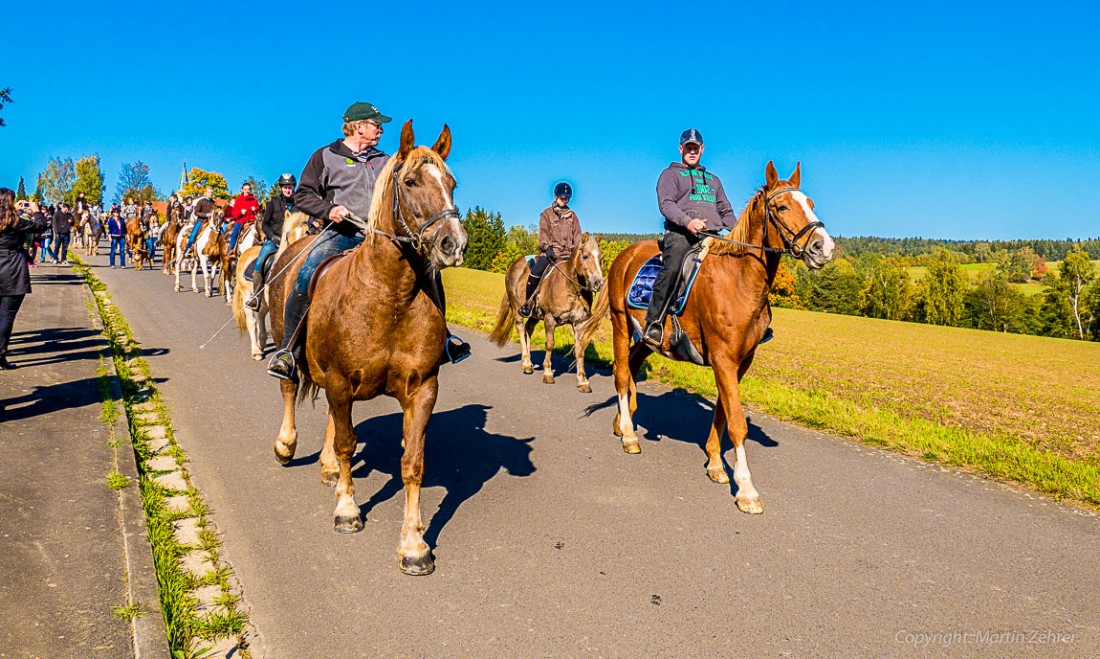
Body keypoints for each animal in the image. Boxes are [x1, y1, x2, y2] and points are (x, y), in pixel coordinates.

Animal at [228, 212, 310, 360]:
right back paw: (256, 351)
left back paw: (262, 342)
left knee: (260, 315)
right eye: (287, 235)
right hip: (247, 294)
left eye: (307, 231)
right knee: (252, 321)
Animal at [272, 121, 470, 576]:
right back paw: (286, 445)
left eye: (451, 183)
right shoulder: (341, 381)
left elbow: (412, 464)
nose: (453, 244)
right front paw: (347, 510)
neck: (388, 296)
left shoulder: (422, 389)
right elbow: (348, 443)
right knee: (290, 388)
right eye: (411, 182)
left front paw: (413, 545)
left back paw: (328, 467)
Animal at [490, 233, 607, 391]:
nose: (598, 283)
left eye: (601, 257)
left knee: (528, 329)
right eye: (585, 256)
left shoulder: (579, 324)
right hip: (517, 307)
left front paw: (583, 381)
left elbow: (579, 350)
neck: (572, 289)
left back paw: (529, 362)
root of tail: (516, 263)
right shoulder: (550, 318)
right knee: (520, 328)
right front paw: (547, 373)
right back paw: (526, 363)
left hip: (534, 314)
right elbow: (550, 344)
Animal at [594, 160, 831, 514]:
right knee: (622, 373)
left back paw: (623, 420)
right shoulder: (723, 358)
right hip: (621, 325)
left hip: (648, 340)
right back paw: (628, 435)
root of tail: (625, 255)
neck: (739, 281)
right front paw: (746, 489)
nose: (824, 247)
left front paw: (717, 466)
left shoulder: (739, 363)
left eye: (812, 204)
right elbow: (736, 423)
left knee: (632, 367)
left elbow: (723, 412)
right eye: (782, 207)